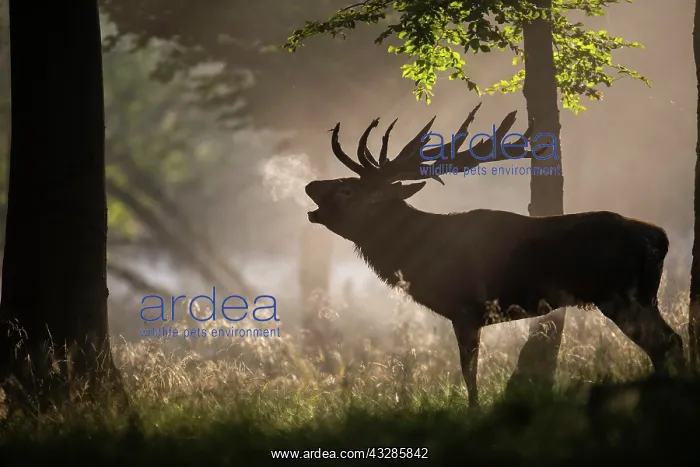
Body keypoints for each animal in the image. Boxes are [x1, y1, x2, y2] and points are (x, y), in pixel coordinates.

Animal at [304, 103, 685, 407]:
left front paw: (473, 411)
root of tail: (660, 238)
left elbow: (469, 372)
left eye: (347, 190)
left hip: (620, 294)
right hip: (644, 296)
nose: (310, 185)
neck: (419, 254)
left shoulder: (465, 309)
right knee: (671, 341)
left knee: (664, 343)